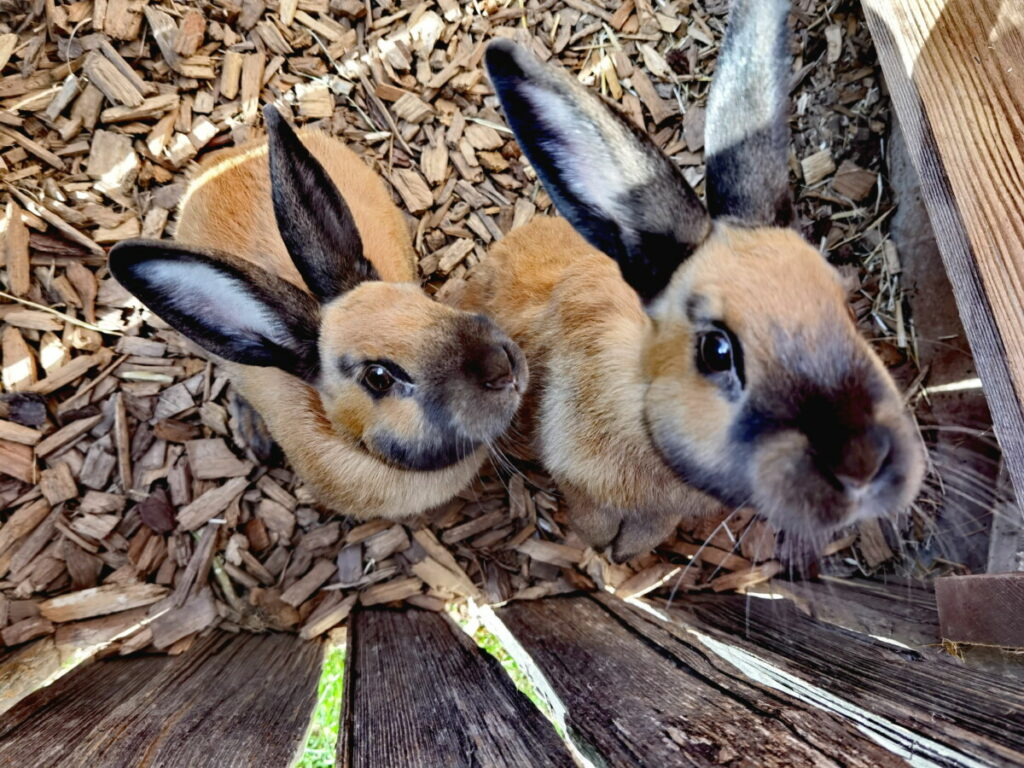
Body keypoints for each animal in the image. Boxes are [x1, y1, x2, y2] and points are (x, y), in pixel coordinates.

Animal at [464, 0, 929, 565]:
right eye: (717, 350)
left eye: (846, 309)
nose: (863, 462)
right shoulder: (577, 476)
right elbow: (592, 516)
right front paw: (601, 550)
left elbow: (651, 528)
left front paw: (627, 554)